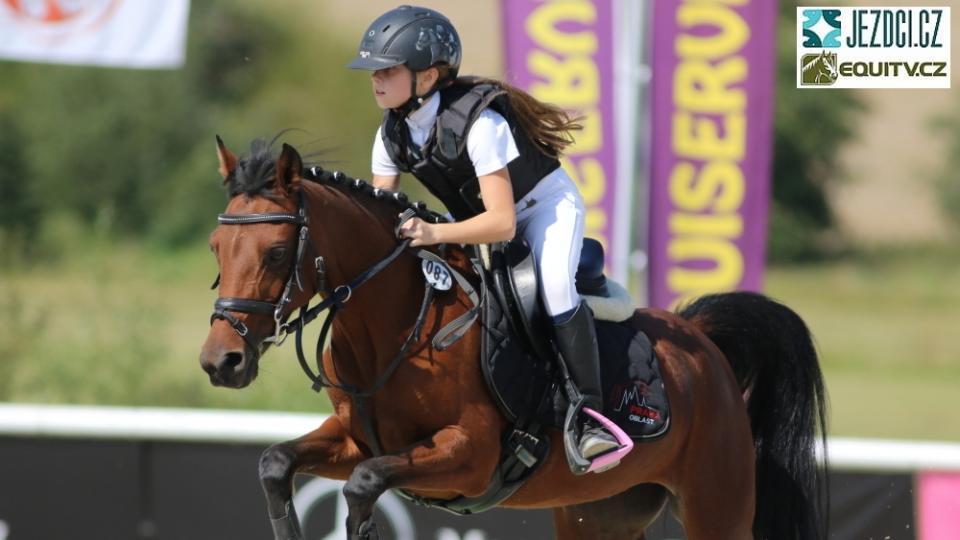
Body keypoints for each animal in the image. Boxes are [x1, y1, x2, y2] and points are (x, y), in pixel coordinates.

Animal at [199, 137, 829, 540]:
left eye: (276, 253)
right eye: (215, 248)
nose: (220, 362)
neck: (396, 328)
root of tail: (699, 338)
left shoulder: (470, 456)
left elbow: (363, 485)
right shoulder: (356, 439)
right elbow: (276, 463)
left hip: (717, 505)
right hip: (599, 513)